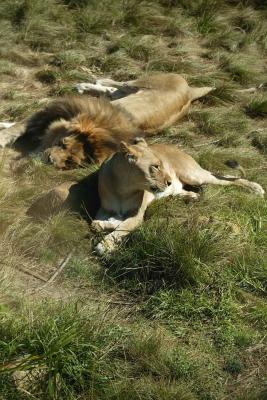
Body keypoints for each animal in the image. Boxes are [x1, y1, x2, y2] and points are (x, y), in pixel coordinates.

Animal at [15, 74, 215, 169]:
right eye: (62, 144)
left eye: (71, 160)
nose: (49, 160)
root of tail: (190, 91)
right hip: (138, 83)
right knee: (116, 83)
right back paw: (90, 83)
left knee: (112, 89)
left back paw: (86, 85)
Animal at [92, 138, 266, 255]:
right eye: (155, 167)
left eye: (160, 165)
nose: (169, 181)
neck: (123, 188)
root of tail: (175, 147)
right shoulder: (104, 209)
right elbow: (97, 223)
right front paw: (104, 224)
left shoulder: (137, 214)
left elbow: (123, 227)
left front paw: (105, 245)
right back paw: (191, 196)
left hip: (194, 176)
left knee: (226, 177)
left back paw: (256, 189)